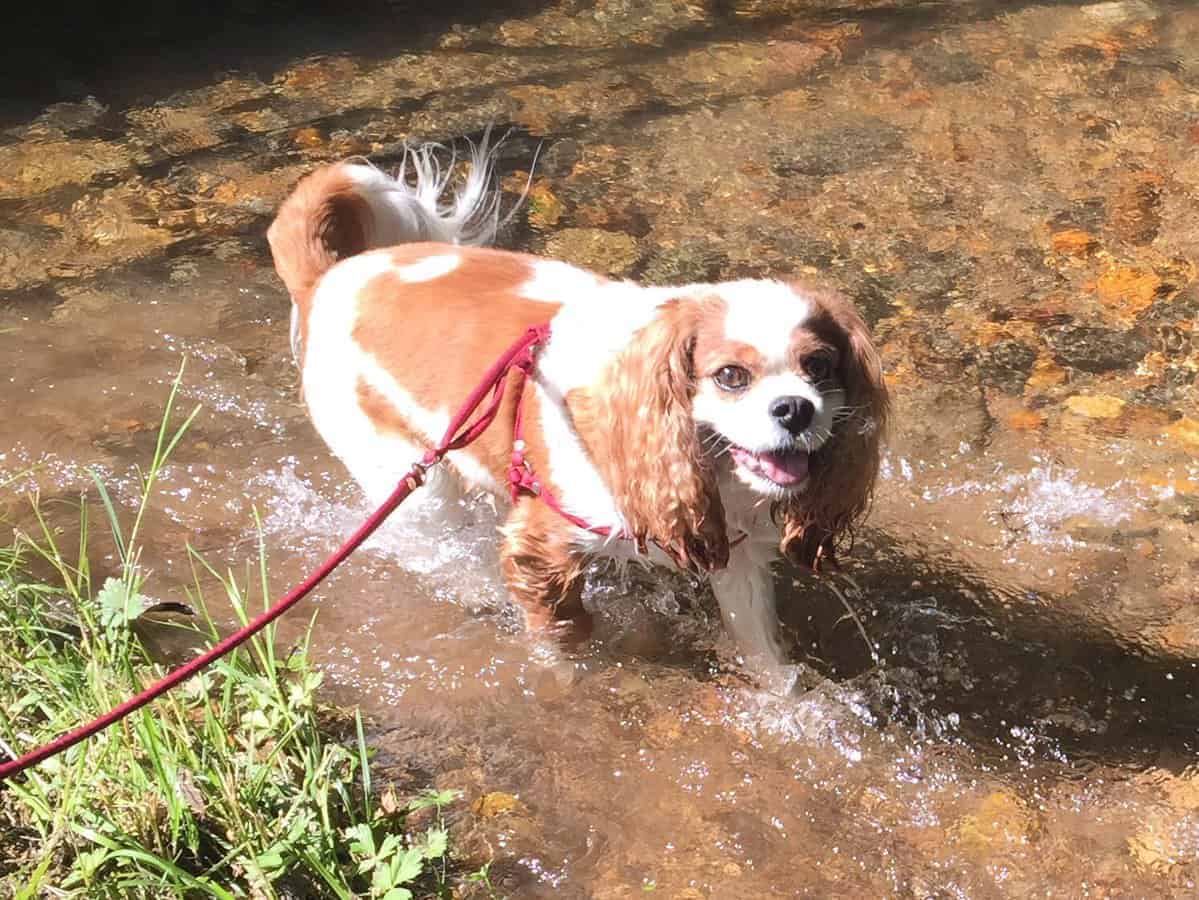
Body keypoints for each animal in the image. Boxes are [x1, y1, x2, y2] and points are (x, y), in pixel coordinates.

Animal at [272, 135, 892, 671]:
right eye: (731, 377)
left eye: (818, 368)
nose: (795, 408)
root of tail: (331, 279)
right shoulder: (540, 546)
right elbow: (566, 640)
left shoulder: (736, 557)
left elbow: (762, 651)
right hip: (413, 481)